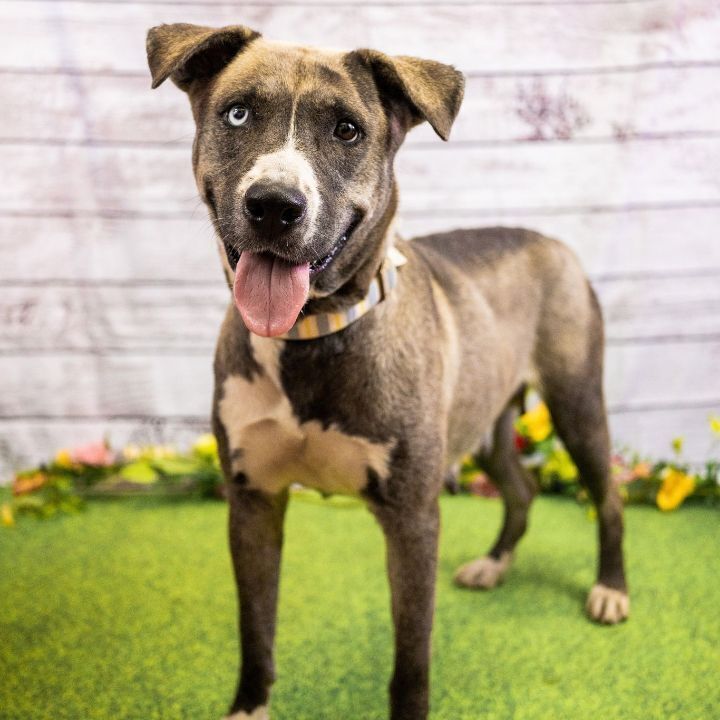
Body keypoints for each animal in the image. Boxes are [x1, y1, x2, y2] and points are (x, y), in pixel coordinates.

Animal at [148, 23, 632, 720]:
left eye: (348, 130)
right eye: (236, 113)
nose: (274, 205)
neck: (311, 336)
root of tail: (549, 239)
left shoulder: (411, 517)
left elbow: (411, 657)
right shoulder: (253, 499)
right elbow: (255, 629)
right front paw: (248, 706)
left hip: (576, 402)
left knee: (609, 496)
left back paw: (610, 590)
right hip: (483, 418)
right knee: (520, 487)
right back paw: (493, 565)